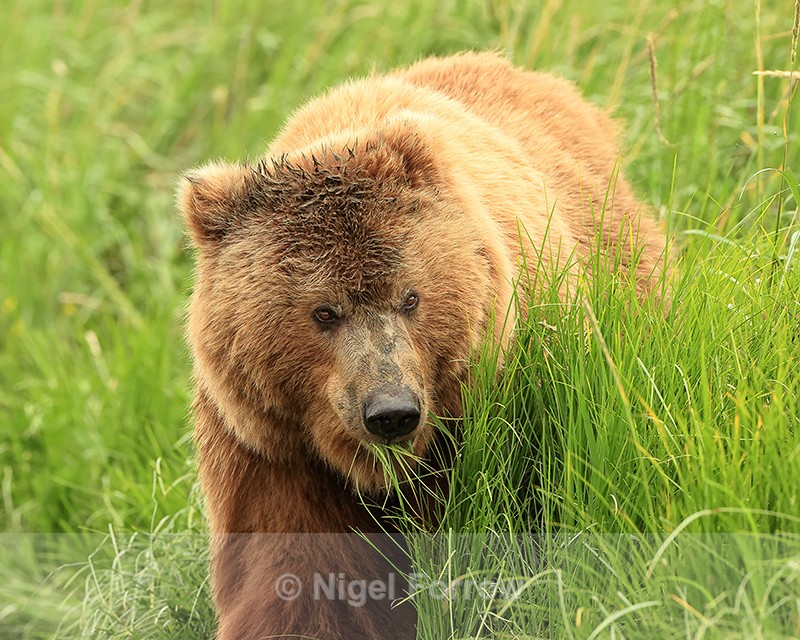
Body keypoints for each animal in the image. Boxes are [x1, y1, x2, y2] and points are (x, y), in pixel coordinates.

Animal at [178, 52, 669, 640]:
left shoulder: (521, 405)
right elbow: (300, 580)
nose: (391, 412)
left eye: (410, 296)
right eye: (324, 312)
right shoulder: (272, 451)